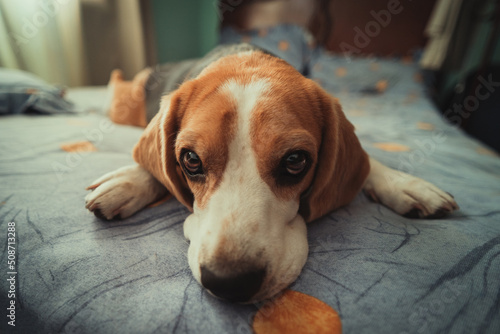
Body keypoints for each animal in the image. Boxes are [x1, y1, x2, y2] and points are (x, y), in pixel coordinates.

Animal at [85, 45, 458, 304]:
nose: (229, 281)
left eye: (295, 161)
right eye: (190, 159)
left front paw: (408, 184)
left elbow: (370, 162)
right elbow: (151, 165)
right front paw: (128, 181)